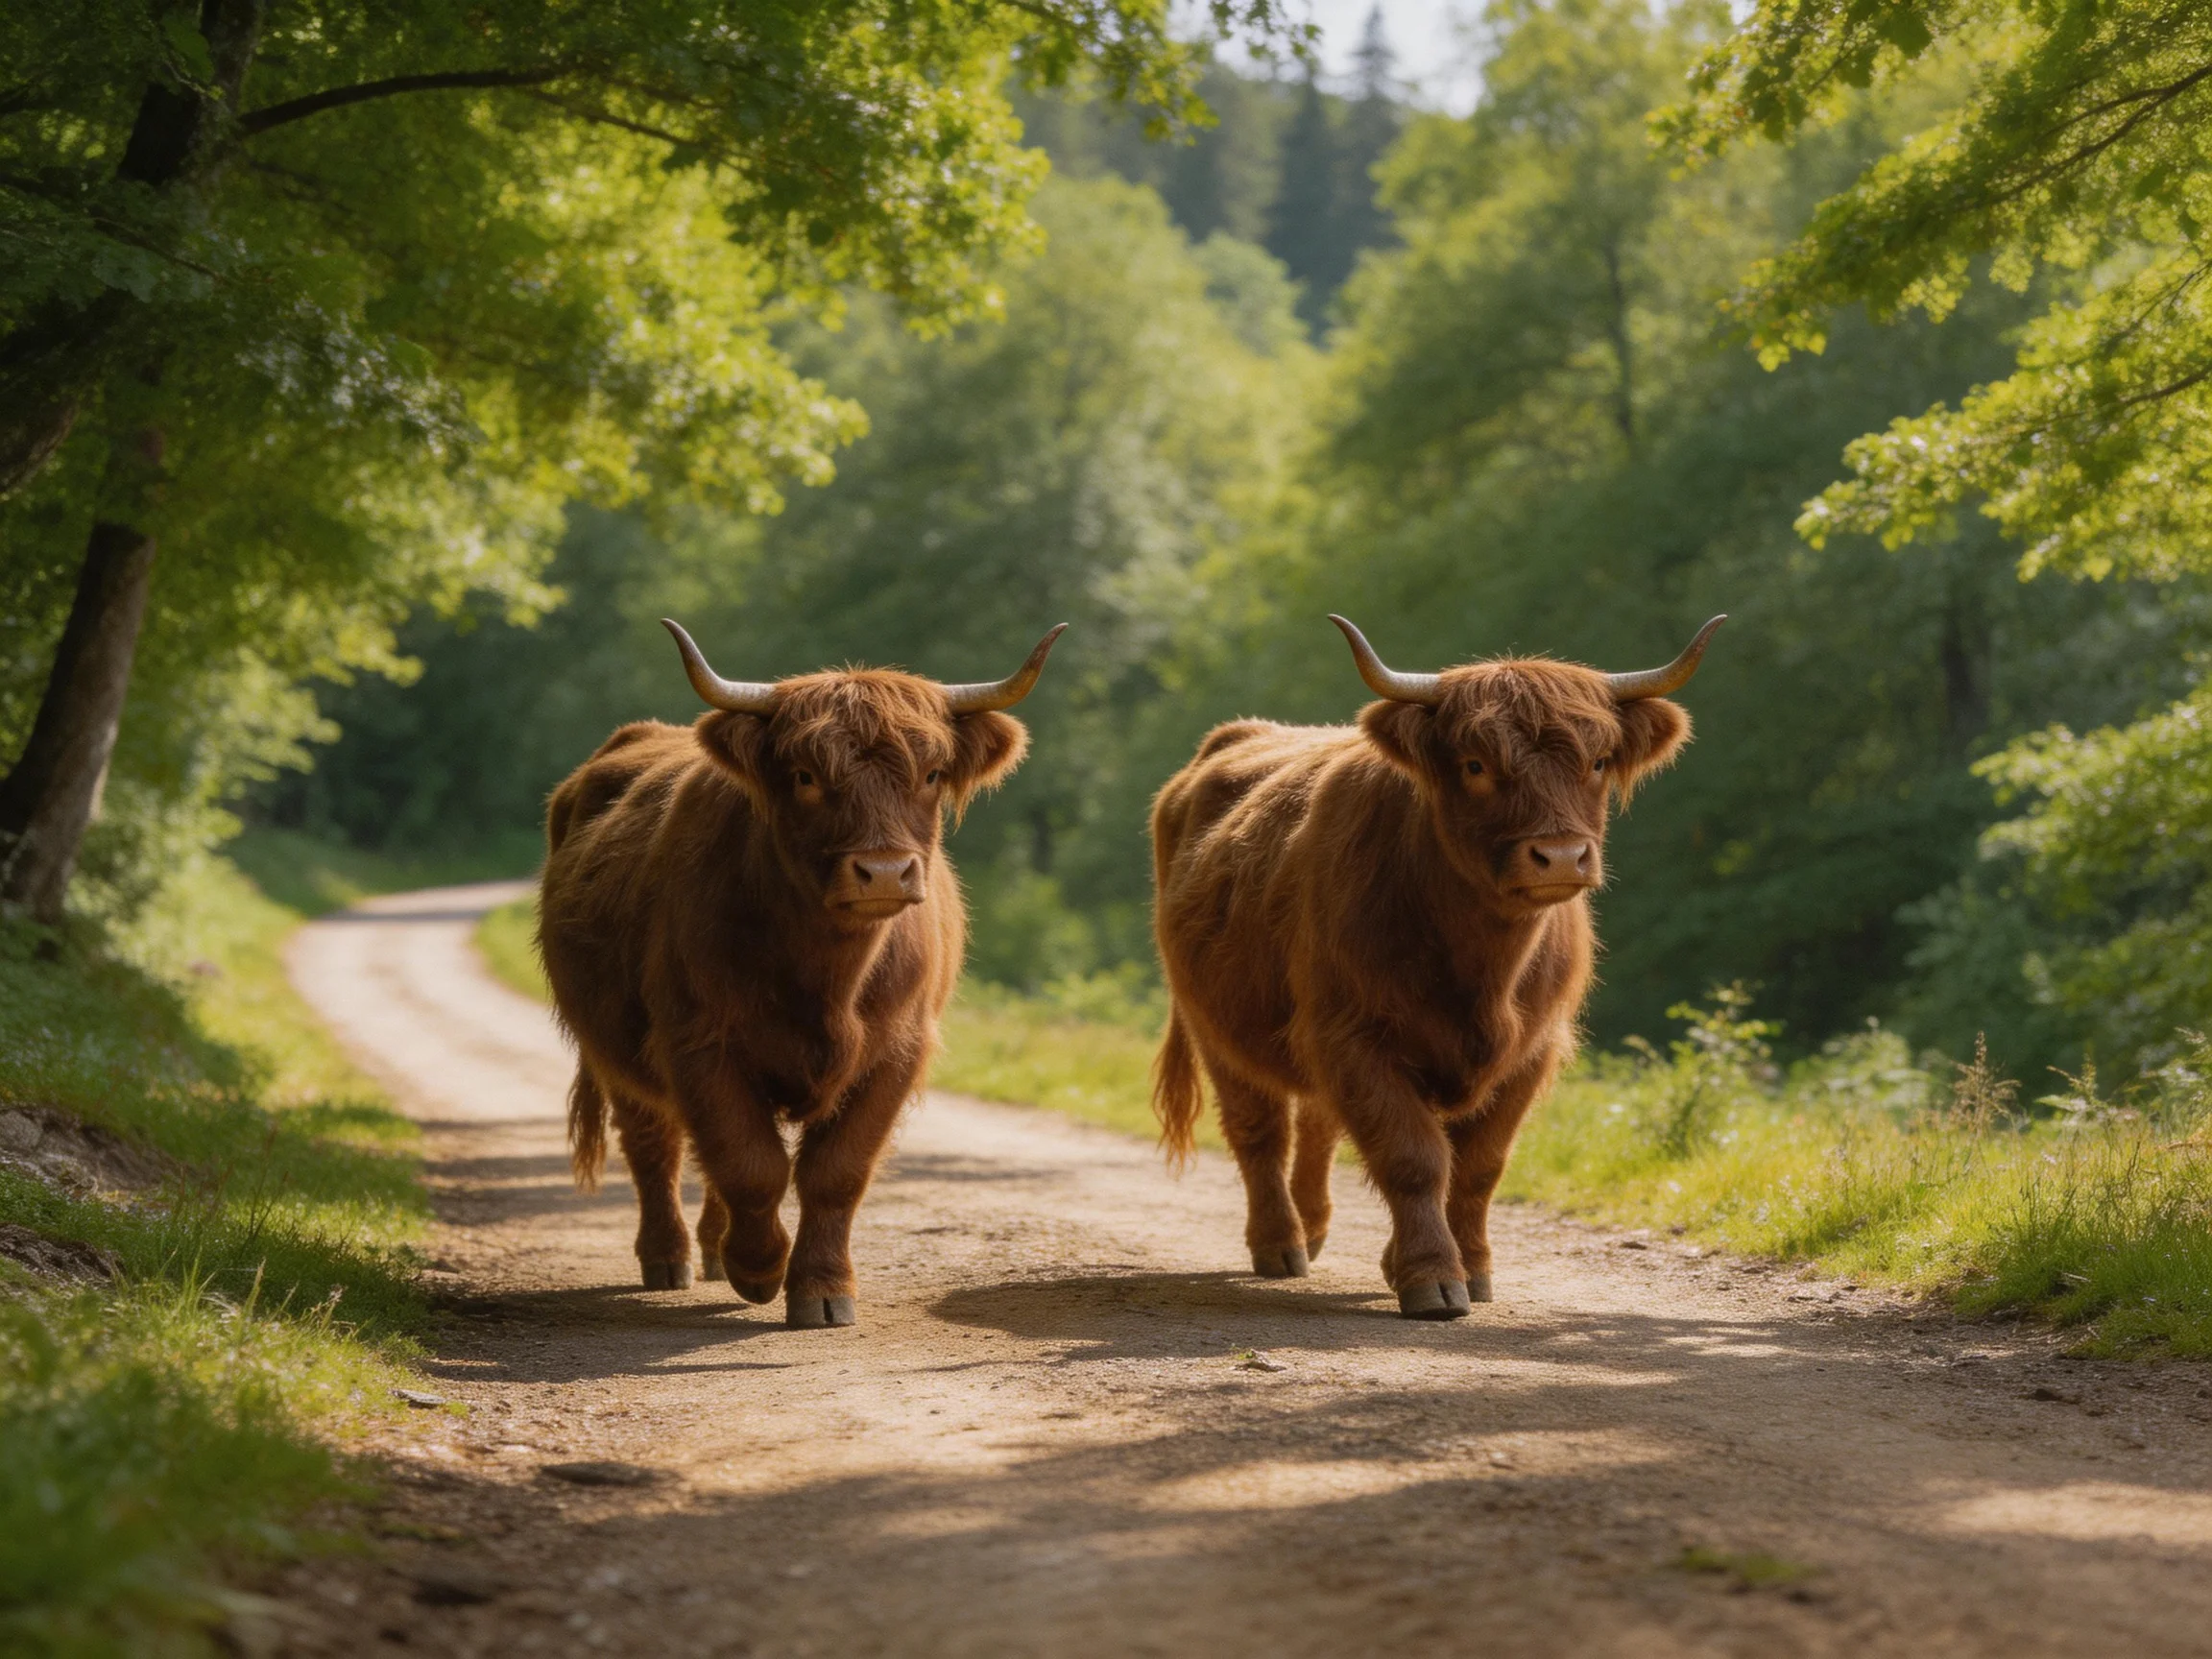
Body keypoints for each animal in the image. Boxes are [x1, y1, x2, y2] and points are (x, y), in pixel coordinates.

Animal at [538, 619, 1064, 1327]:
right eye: (806, 775)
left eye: (931, 772)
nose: (884, 872)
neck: (828, 978)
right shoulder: (698, 1042)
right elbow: (750, 1164)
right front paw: (760, 1268)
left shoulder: (895, 1052)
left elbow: (834, 1172)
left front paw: (820, 1288)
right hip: (614, 1052)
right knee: (656, 1148)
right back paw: (670, 1259)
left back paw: (713, 1250)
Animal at [1149, 615, 1723, 1319]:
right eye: (1475, 764)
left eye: (1597, 761)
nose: (1560, 856)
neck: (1483, 969)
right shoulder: (1355, 1035)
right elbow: (1413, 1157)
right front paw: (1431, 1278)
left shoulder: (1532, 1051)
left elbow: (1478, 1166)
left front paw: (1467, 1268)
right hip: (1216, 1027)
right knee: (1260, 1131)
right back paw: (1281, 1245)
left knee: (1318, 1126)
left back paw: (1314, 1229)